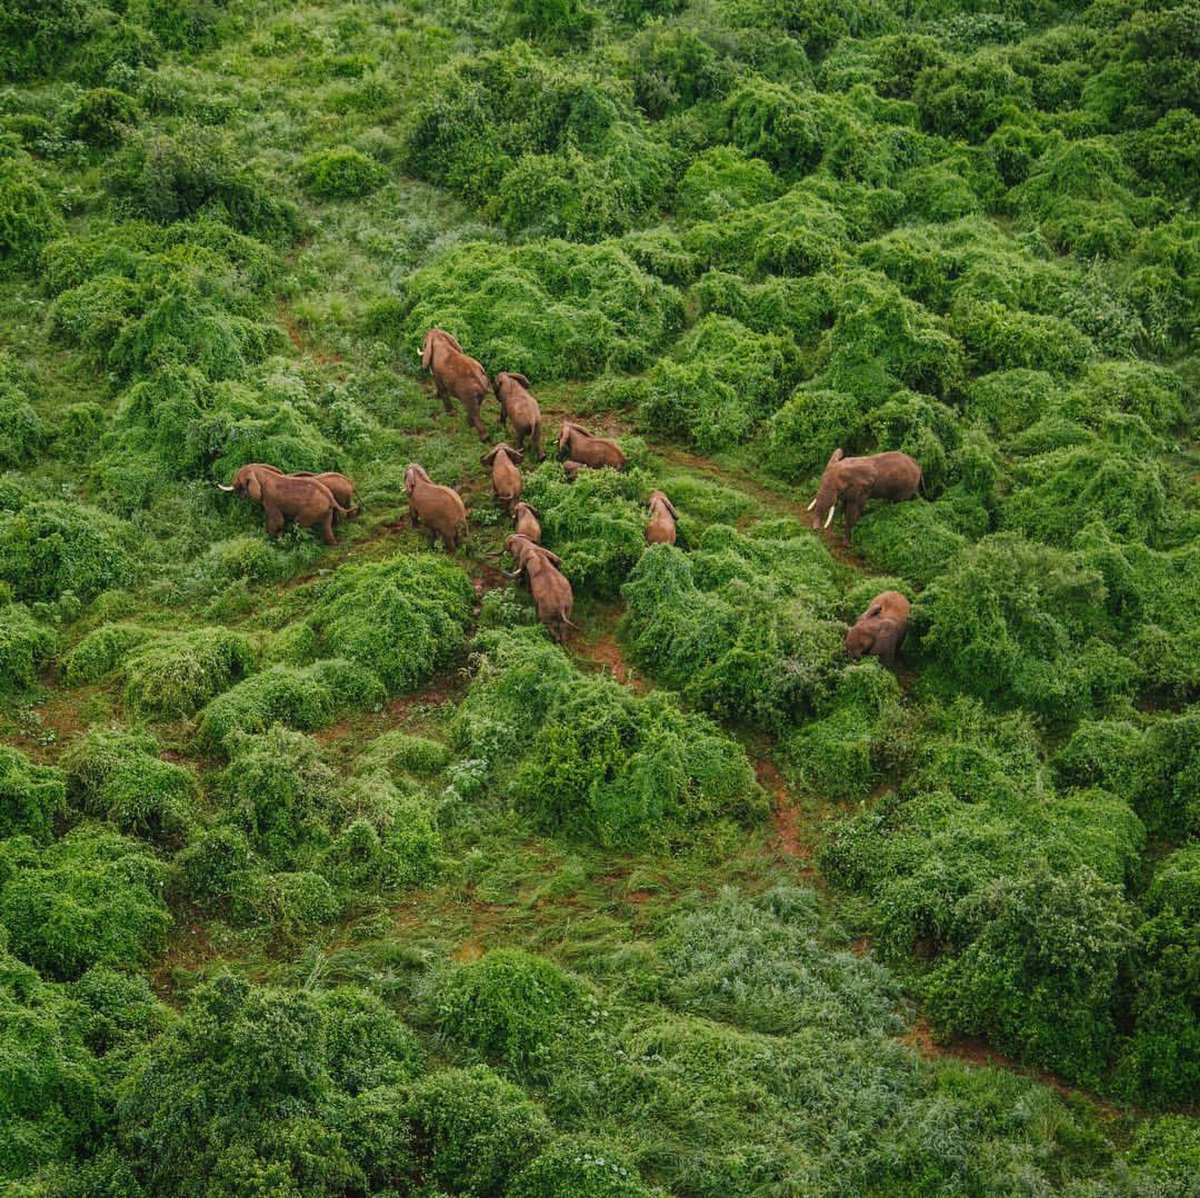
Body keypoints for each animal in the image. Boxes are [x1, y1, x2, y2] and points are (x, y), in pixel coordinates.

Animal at [216, 465, 349, 546]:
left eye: (238, 478)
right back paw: (334, 544)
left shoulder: (270, 499)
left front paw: (277, 537)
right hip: (325, 510)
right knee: (326, 526)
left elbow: (277, 520)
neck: (259, 471)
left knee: (299, 524)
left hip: (312, 509)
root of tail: (330, 498)